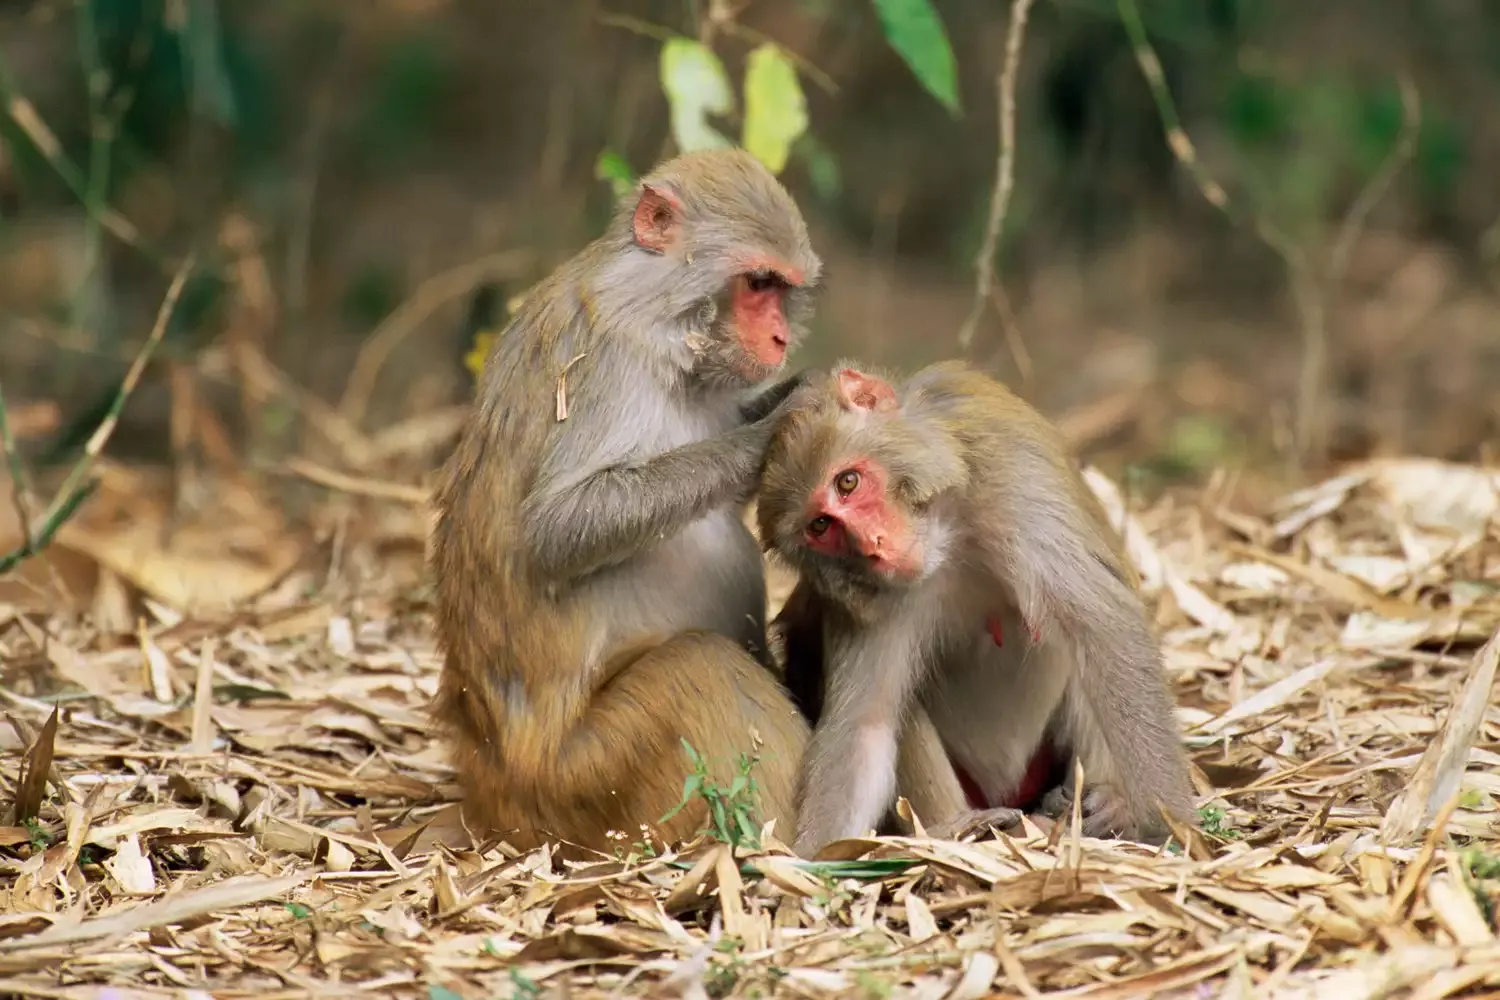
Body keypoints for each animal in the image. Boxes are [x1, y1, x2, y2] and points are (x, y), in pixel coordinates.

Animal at [429, 148, 822, 851]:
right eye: (757, 284)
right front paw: (779, 427)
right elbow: (557, 530)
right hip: (583, 778)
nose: (780, 339)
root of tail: (490, 786)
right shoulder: (607, 359)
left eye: (782, 290)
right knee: (702, 667)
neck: (657, 306)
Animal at [762, 364, 1194, 857]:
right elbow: (866, 726)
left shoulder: (1012, 476)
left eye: (847, 482)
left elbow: (1106, 631)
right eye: (821, 526)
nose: (873, 545)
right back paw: (966, 829)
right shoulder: (868, 598)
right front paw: (811, 861)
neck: (948, 532)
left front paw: (1171, 826)